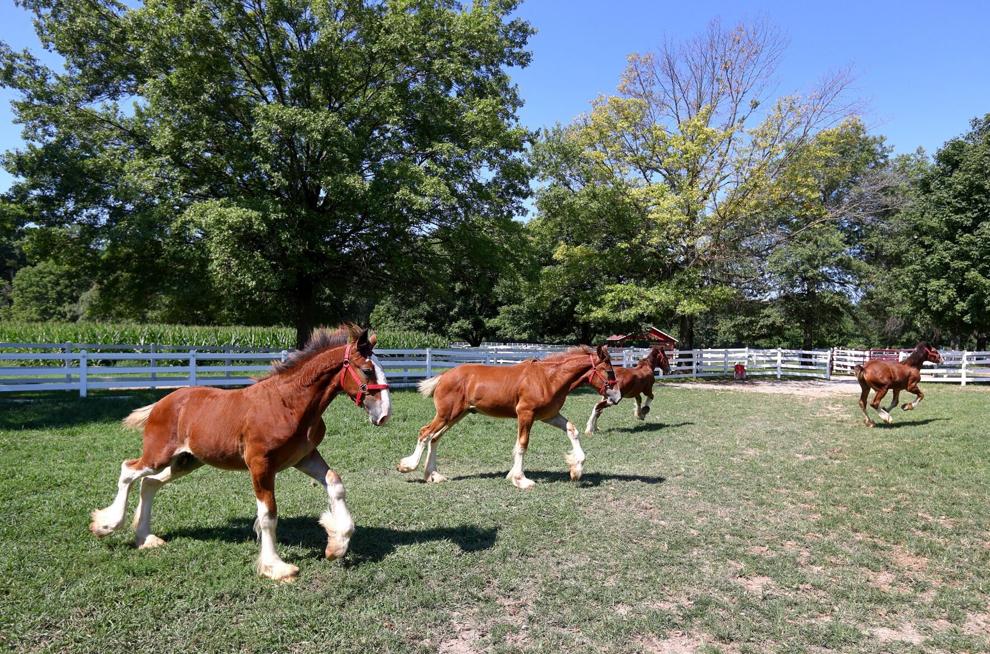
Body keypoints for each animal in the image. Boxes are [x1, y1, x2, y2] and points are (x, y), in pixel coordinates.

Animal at [88, 326, 392, 580]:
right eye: (367, 371)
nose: (384, 415)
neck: (288, 403)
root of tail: (161, 403)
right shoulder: (260, 464)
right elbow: (268, 515)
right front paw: (277, 568)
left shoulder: (304, 457)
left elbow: (335, 483)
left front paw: (336, 545)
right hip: (159, 456)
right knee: (129, 470)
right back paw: (107, 525)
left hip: (186, 461)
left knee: (149, 483)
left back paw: (146, 539)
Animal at [396, 346, 620, 490]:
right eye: (609, 371)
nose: (616, 397)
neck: (548, 378)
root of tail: (444, 376)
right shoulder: (526, 414)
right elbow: (522, 445)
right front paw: (521, 479)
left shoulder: (548, 416)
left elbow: (572, 430)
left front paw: (576, 469)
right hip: (446, 415)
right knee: (425, 433)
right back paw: (408, 466)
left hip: (456, 416)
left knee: (435, 438)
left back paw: (433, 475)